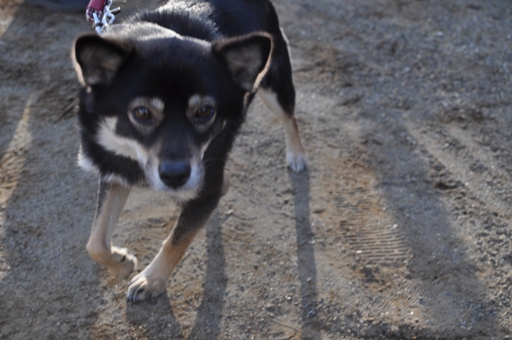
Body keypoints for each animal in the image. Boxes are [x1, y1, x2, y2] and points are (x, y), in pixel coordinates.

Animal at [71, 0, 304, 302]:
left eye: (205, 110)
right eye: (142, 112)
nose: (175, 176)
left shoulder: (207, 186)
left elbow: (176, 240)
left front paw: (151, 280)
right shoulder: (116, 171)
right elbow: (95, 242)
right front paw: (123, 263)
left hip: (275, 86)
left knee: (290, 117)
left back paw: (296, 155)